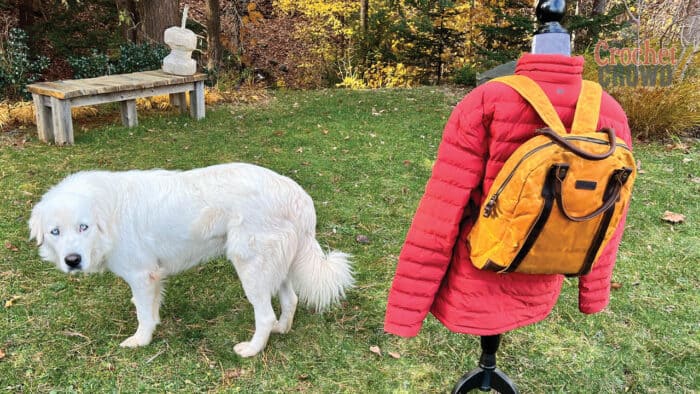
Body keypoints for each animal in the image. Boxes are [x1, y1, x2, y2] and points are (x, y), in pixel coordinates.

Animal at [29, 163, 352, 358]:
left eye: (83, 227)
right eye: (55, 232)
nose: (72, 260)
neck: (105, 217)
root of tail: (297, 194)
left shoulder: (142, 276)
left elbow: (142, 314)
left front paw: (140, 341)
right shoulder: (153, 277)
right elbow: (149, 310)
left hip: (251, 268)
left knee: (265, 315)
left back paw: (252, 349)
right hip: (275, 266)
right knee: (290, 300)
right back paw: (282, 329)